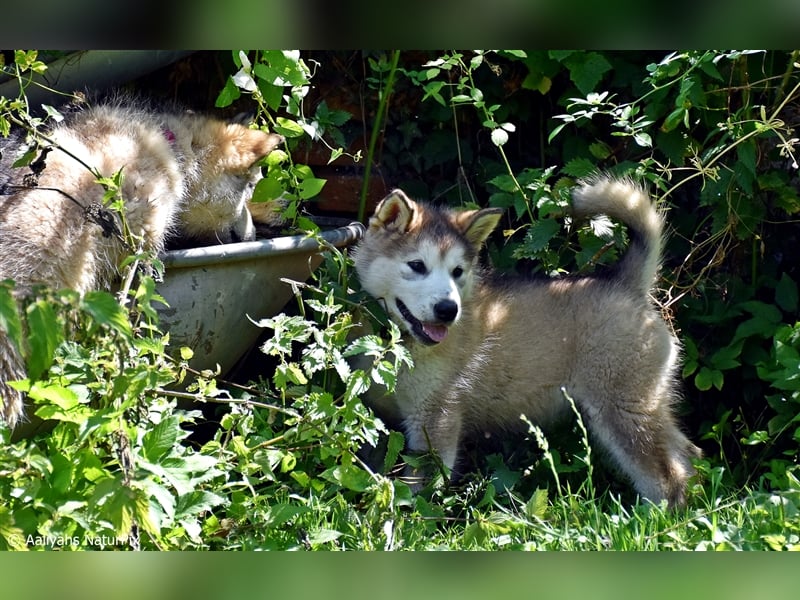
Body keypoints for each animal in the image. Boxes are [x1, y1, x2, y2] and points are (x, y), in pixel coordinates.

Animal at [354, 177, 700, 506]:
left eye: (457, 272)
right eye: (417, 265)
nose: (448, 309)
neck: (402, 345)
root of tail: (626, 284)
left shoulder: (436, 419)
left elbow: (417, 486)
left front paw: (408, 515)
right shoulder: (381, 419)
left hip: (623, 409)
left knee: (665, 475)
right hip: (649, 402)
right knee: (687, 452)